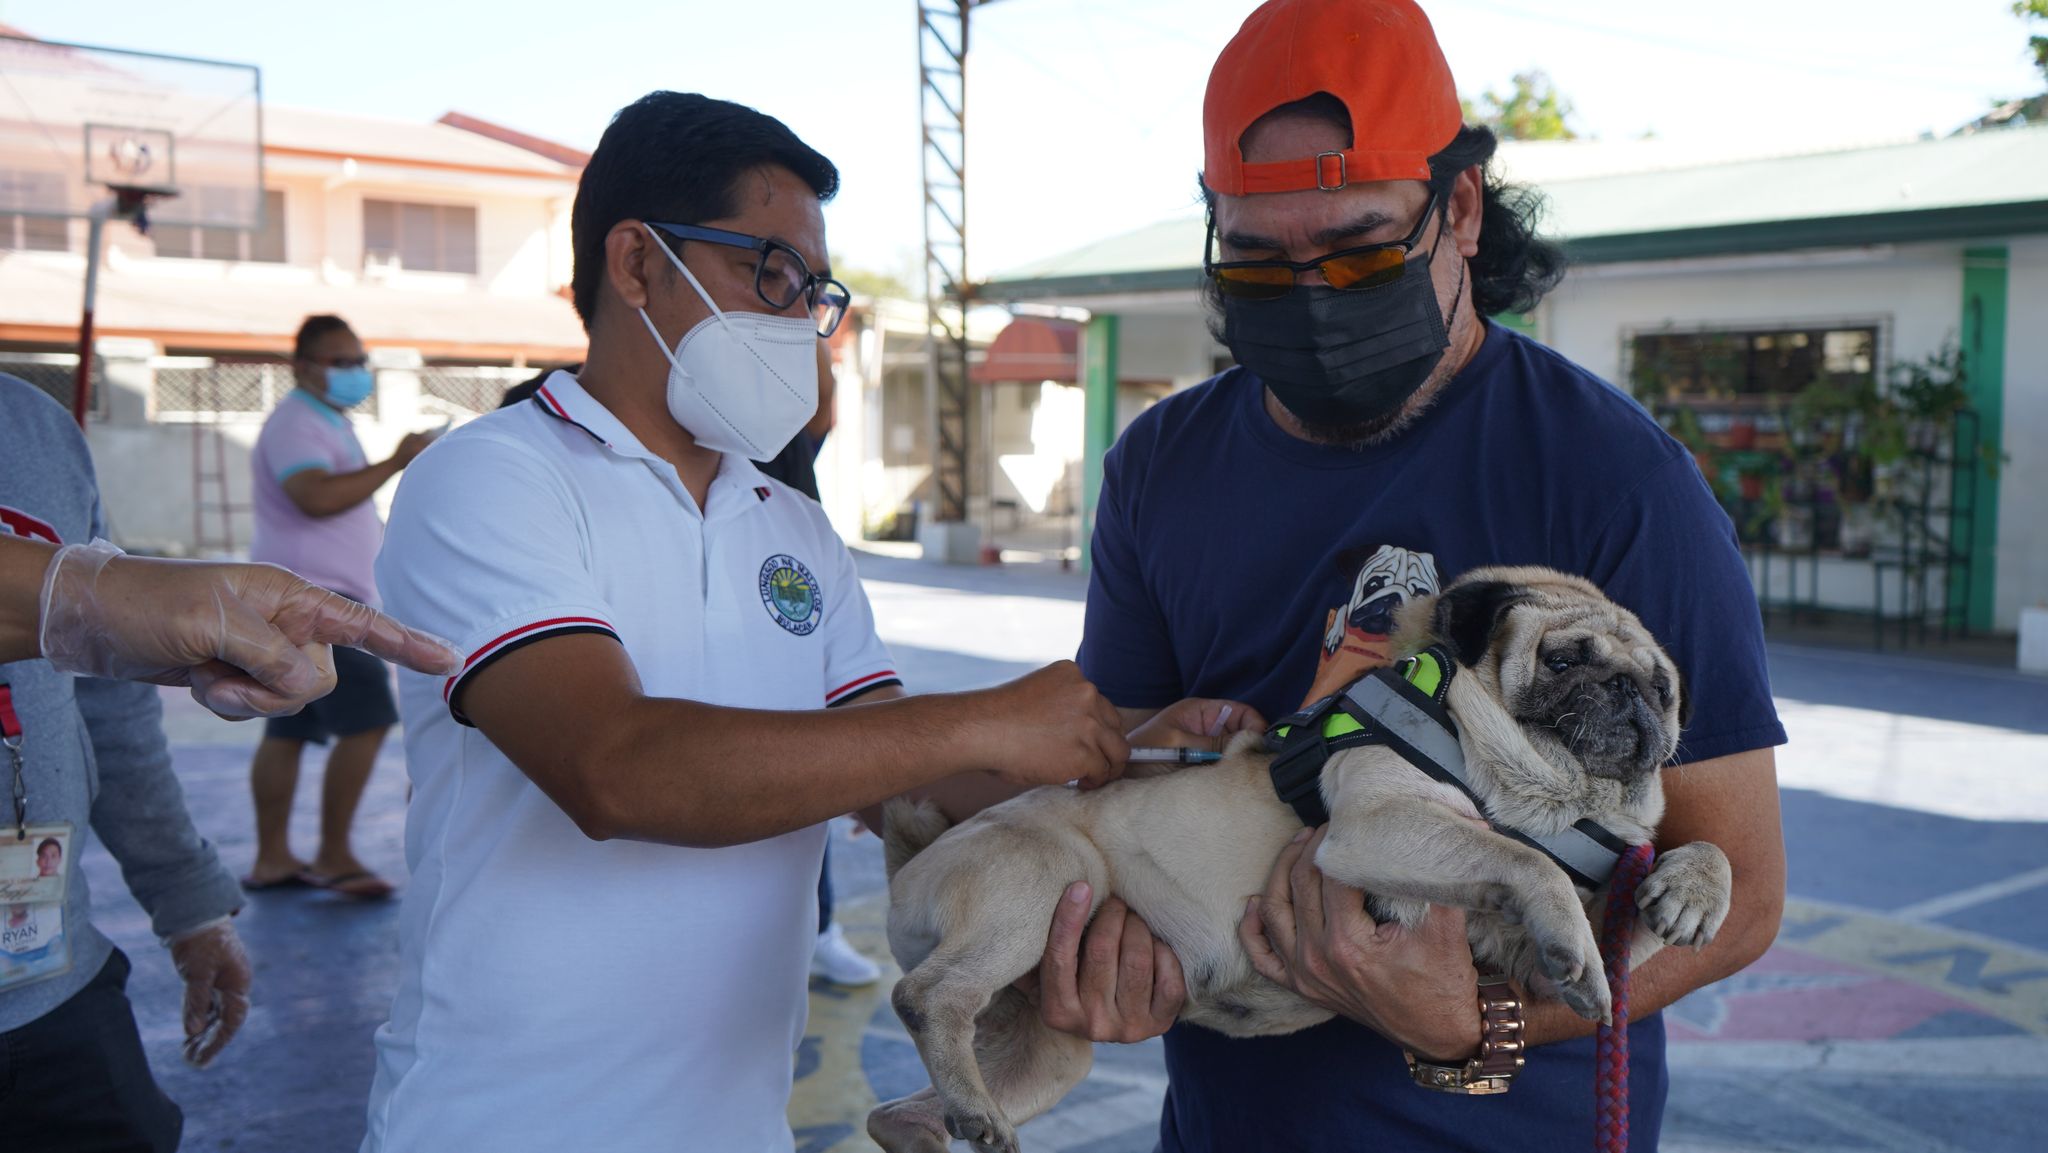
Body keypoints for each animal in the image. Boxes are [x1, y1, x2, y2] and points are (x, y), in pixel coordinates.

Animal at [864, 569, 1728, 1153]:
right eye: (1563, 661)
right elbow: (1525, 862)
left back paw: (940, 1123)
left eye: (1663, 689)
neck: (1544, 796)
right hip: (1041, 880)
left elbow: (1632, 910)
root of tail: (907, 865)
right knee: (925, 994)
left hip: (1047, 1050)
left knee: (899, 1105)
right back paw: (967, 1098)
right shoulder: (1377, 827)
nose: (1628, 692)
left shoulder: (1521, 957)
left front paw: (1690, 889)